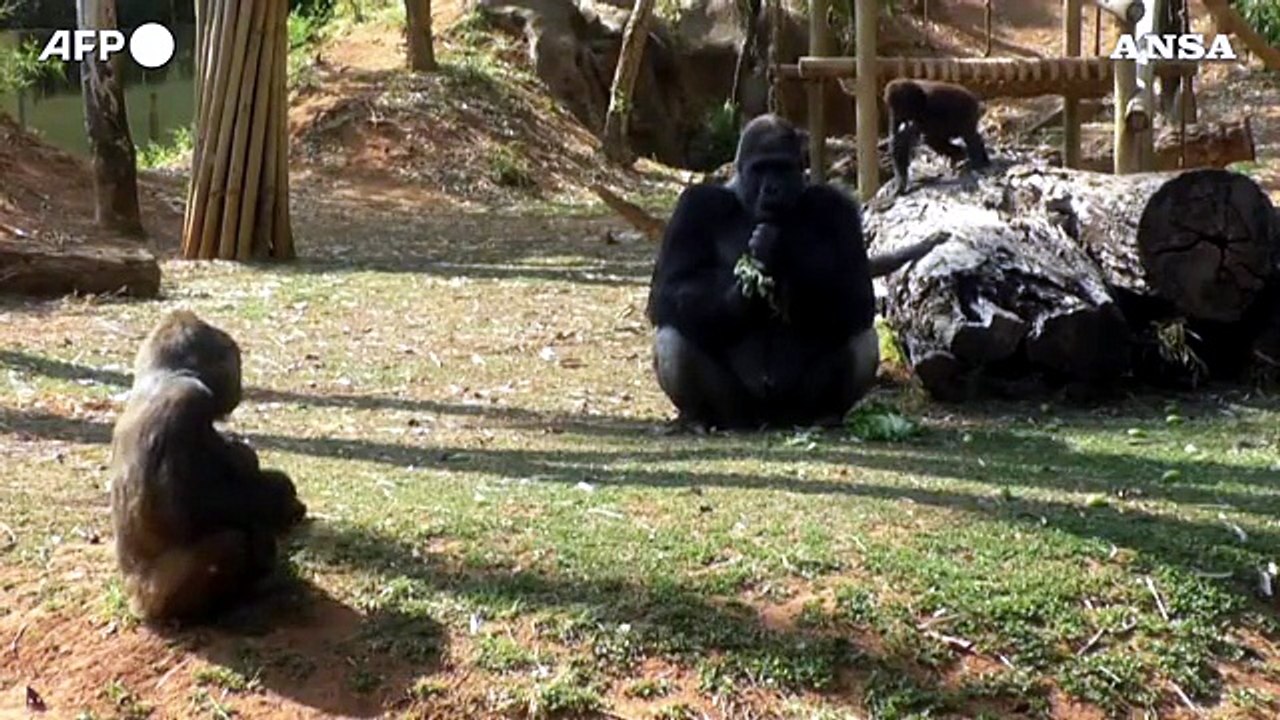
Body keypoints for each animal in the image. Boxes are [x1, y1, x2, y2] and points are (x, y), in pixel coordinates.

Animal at [109, 310, 306, 624]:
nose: (240, 385)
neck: (164, 375)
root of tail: (135, 605)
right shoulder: (189, 399)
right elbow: (187, 511)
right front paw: (280, 499)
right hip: (155, 601)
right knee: (229, 543)